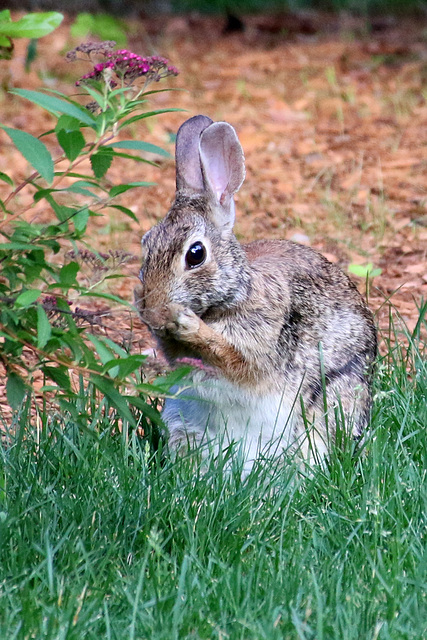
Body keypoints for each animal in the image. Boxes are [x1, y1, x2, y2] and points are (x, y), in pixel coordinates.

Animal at [136, 115, 378, 470]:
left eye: (195, 254)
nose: (153, 313)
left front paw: (189, 326)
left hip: (325, 410)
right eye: (146, 244)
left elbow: (233, 359)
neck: (229, 297)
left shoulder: (262, 344)